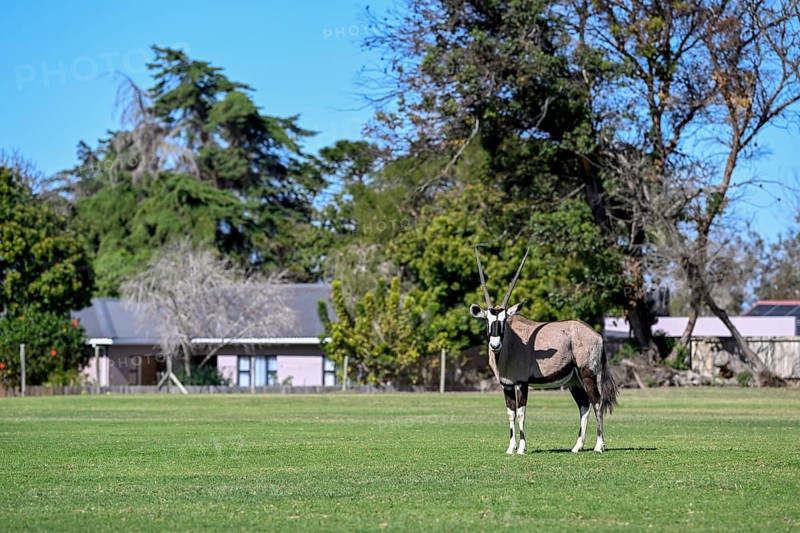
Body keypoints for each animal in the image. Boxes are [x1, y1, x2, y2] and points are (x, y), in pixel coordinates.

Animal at [469, 248, 619, 454]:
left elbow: (521, 412)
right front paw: (510, 448)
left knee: (597, 402)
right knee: (584, 405)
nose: (495, 345)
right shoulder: (506, 385)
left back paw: (599, 446)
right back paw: (577, 446)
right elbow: (510, 413)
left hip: (587, 374)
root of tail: (597, 336)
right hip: (574, 380)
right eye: (487, 321)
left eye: (504, 321)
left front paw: (522, 448)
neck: (511, 346)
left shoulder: (521, 383)